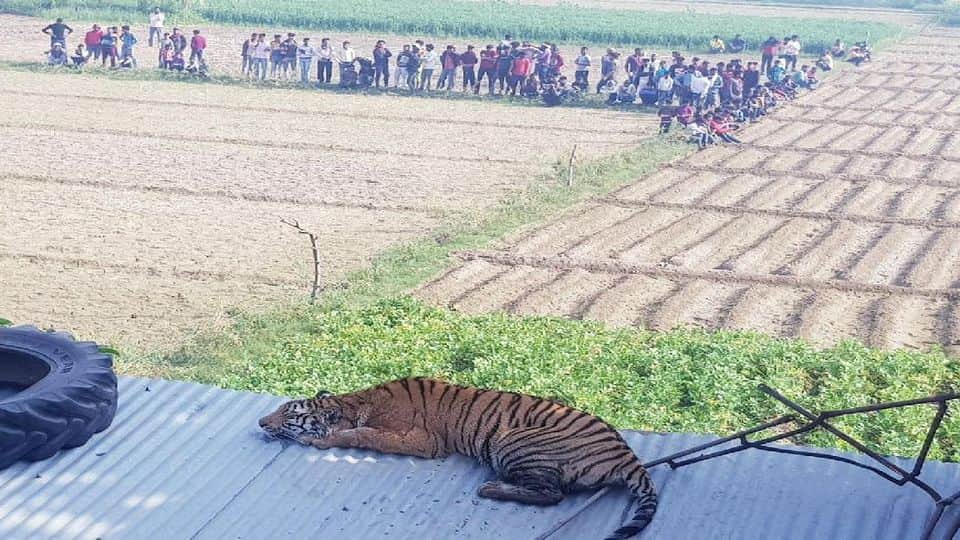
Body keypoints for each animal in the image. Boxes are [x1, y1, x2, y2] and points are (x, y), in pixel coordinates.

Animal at [259, 377, 657, 540]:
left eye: (288, 414)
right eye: (279, 407)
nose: (261, 422)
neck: (354, 402)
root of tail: (629, 455)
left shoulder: (422, 441)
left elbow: (364, 435)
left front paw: (319, 440)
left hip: (511, 440)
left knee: (553, 494)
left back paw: (491, 488)